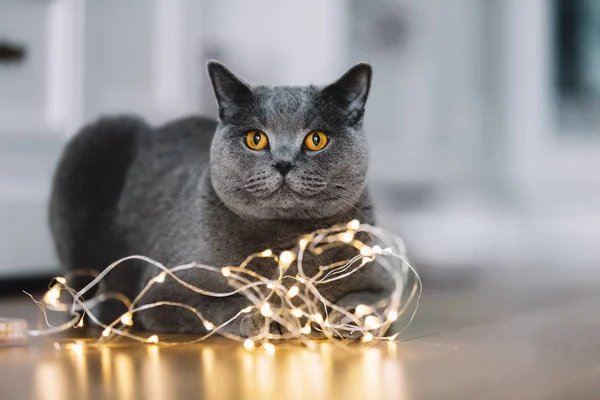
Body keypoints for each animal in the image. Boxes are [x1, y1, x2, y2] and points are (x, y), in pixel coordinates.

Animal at [48, 61, 394, 336]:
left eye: (316, 139)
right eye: (256, 139)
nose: (283, 163)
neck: (288, 243)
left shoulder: (381, 280)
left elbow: (368, 302)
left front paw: (347, 319)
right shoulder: (164, 292)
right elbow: (227, 302)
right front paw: (269, 316)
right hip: (96, 140)